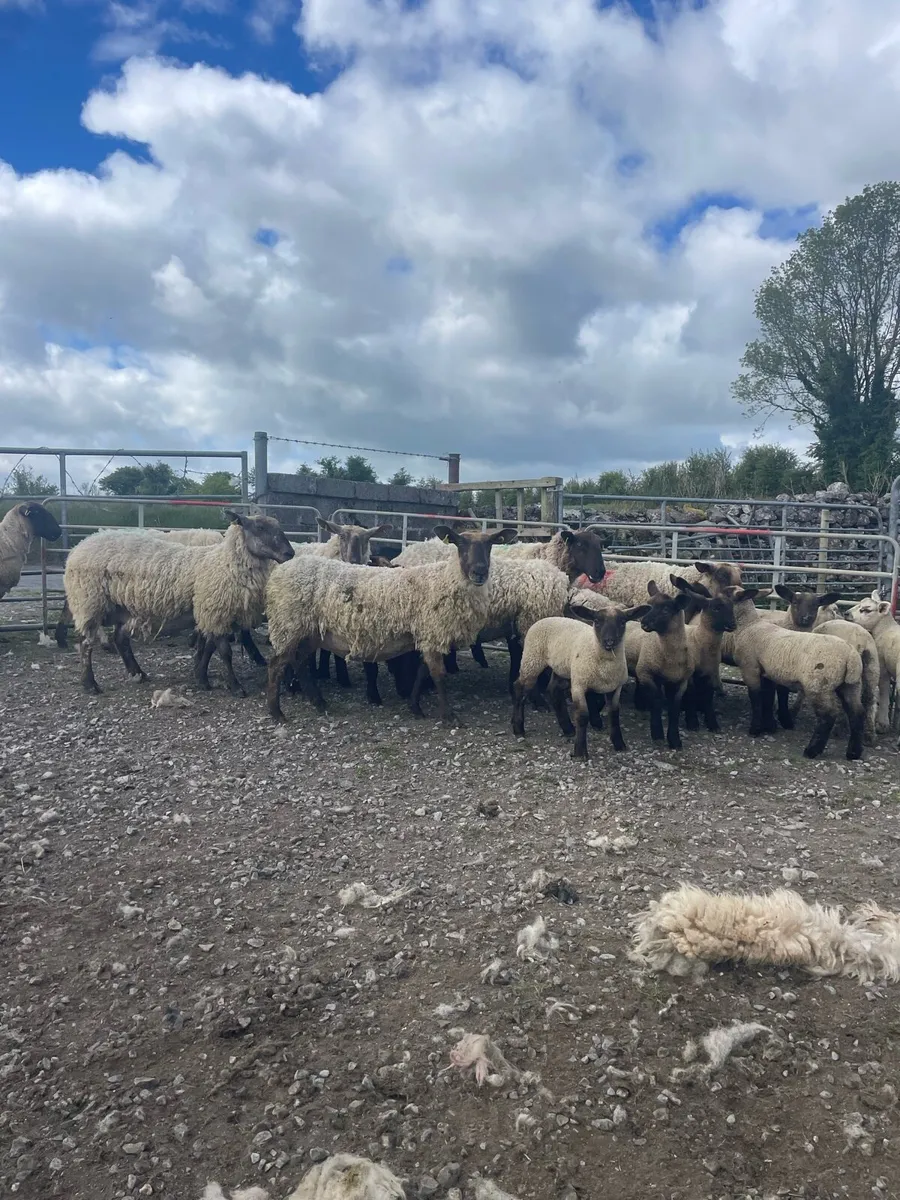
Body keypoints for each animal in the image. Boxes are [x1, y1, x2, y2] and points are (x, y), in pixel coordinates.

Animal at [63, 510, 294, 694]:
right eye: (260, 527)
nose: (289, 553)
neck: (224, 562)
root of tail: (79, 546)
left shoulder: (210, 614)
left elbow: (208, 649)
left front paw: (202, 678)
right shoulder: (214, 611)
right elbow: (224, 652)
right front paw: (235, 687)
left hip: (125, 608)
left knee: (120, 640)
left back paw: (138, 673)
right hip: (90, 602)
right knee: (85, 644)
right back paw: (90, 684)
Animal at [264, 524, 517, 723]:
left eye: (491, 544)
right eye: (460, 544)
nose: (480, 571)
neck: (445, 580)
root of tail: (279, 573)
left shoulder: (427, 636)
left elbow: (422, 672)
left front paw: (415, 707)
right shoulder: (433, 632)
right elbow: (438, 675)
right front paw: (449, 717)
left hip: (310, 632)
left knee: (299, 662)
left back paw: (318, 702)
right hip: (289, 625)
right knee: (276, 665)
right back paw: (277, 713)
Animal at [511, 601, 649, 759]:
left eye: (622, 622)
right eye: (597, 621)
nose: (609, 641)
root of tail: (546, 618)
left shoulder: (615, 687)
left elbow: (614, 714)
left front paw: (619, 744)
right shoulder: (579, 685)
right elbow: (583, 716)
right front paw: (580, 752)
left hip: (562, 667)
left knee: (554, 690)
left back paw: (568, 729)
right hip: (532, 659)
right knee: (519, 688)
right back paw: (518, 728)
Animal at [729, 586, 865, 759]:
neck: (748, 626)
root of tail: (851, 655)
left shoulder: (750, 668)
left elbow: (756, 698)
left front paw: (755, 729)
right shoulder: (767, 672)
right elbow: (767, 697)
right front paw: (769, 726)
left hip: (818, 685)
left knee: (828, 715)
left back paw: (812, 750)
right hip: (851, 685)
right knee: (857, 713)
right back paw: (854, 752)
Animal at [848, 590, 900, 734]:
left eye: (866, 609)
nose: (846, 613)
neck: (884, 628)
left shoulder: (882, 667)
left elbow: (884, 692)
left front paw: (882, 723)